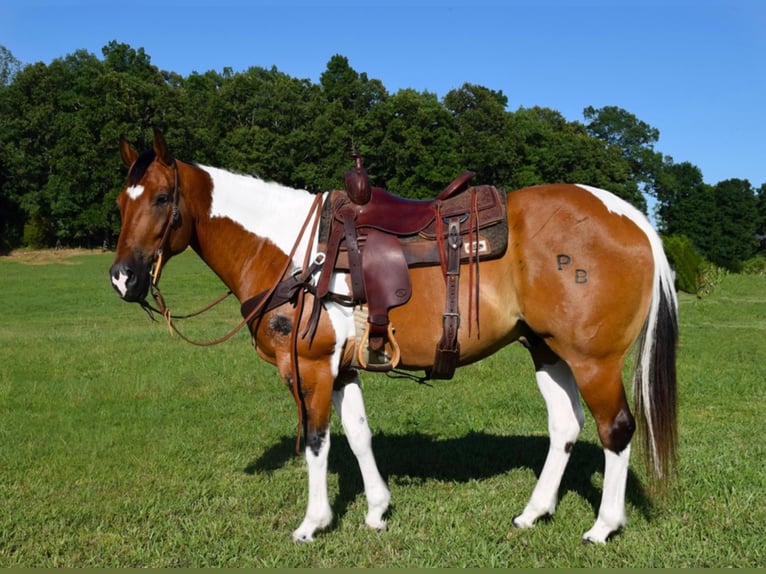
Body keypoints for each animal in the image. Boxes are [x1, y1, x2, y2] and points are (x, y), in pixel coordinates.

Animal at [109, 129, 680, 544]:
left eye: (162, 197)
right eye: (119, 203)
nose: (122, 278)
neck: (292, 252)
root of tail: (631, 216)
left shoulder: (308, 366)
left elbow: (316, 440)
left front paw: (313, 523)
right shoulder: (342, 367)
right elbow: (358, 434)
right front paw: (378, 510)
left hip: (592, 359)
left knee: (616, 429)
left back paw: (603, 527)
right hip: (546, 348)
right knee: (565, 425)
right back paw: (534, 512)